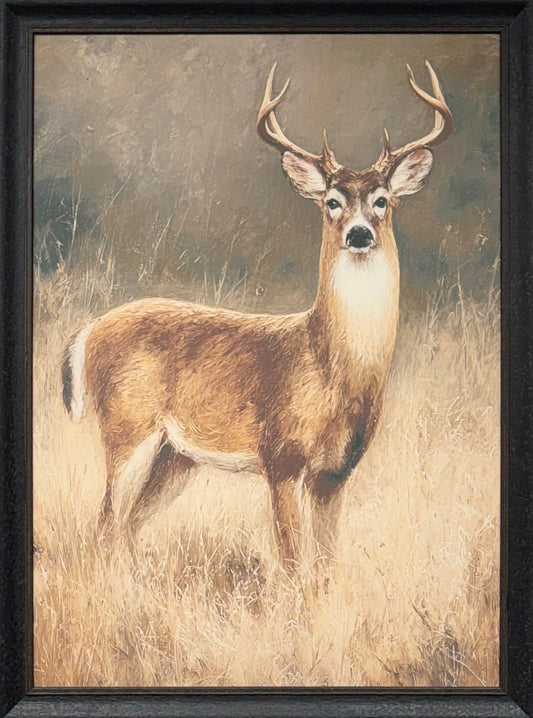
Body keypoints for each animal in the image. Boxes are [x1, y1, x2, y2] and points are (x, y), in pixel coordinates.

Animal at [62, 61, 452, 576]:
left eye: (383, 199)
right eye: (331, 201)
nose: (359, 233)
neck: (330, 368)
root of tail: (90, 331)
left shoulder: (335, 473)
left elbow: (326, 565)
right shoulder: (281, 457)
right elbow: (291, 562)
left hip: (176, 455)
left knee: (127, 523)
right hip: (127, 425)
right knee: (104, 521)